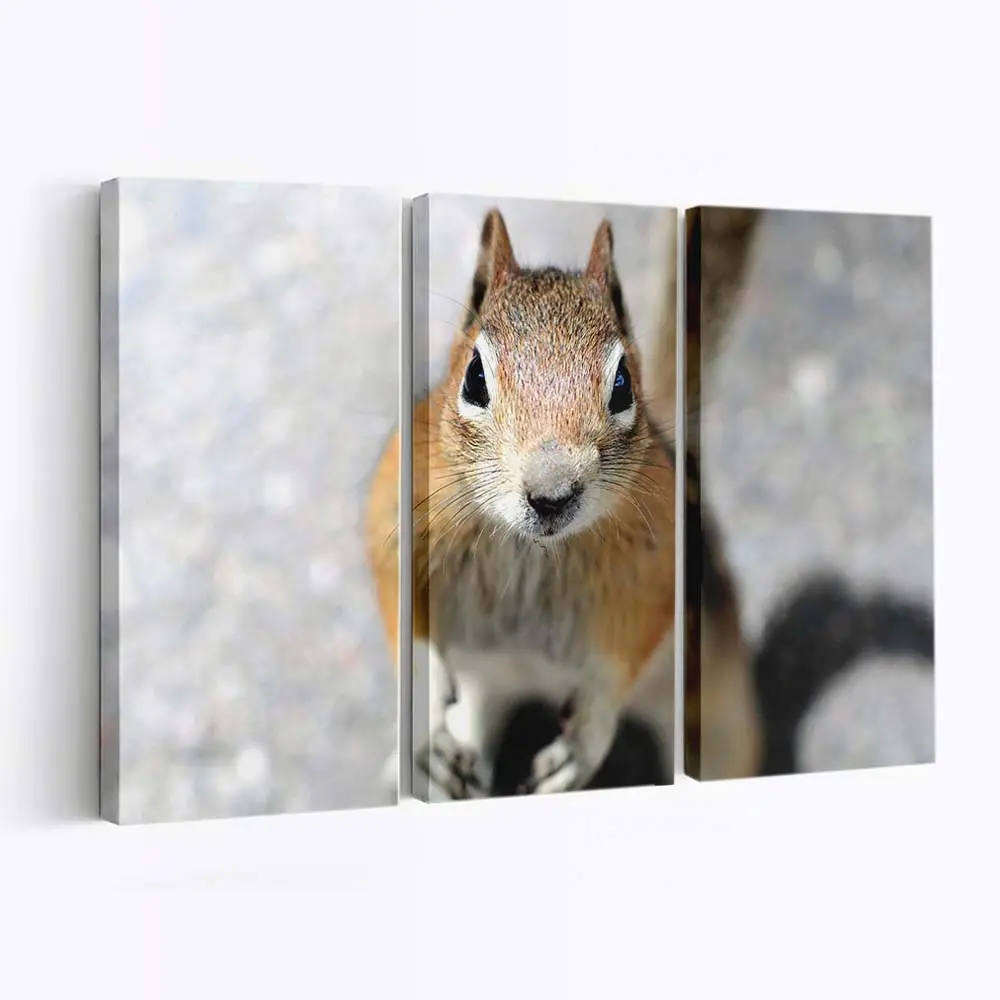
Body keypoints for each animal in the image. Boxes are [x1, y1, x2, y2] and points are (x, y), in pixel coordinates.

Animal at [366, 205, 762, 799]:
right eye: (474, 378)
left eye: (622, 384)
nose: (551, 495)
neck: (531, 550)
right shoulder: (396, 512)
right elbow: (400, 611)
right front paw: (422, 723)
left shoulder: (658, 575)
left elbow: (620, 662)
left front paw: (581, 745)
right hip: (487, 685)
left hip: (715, 703)